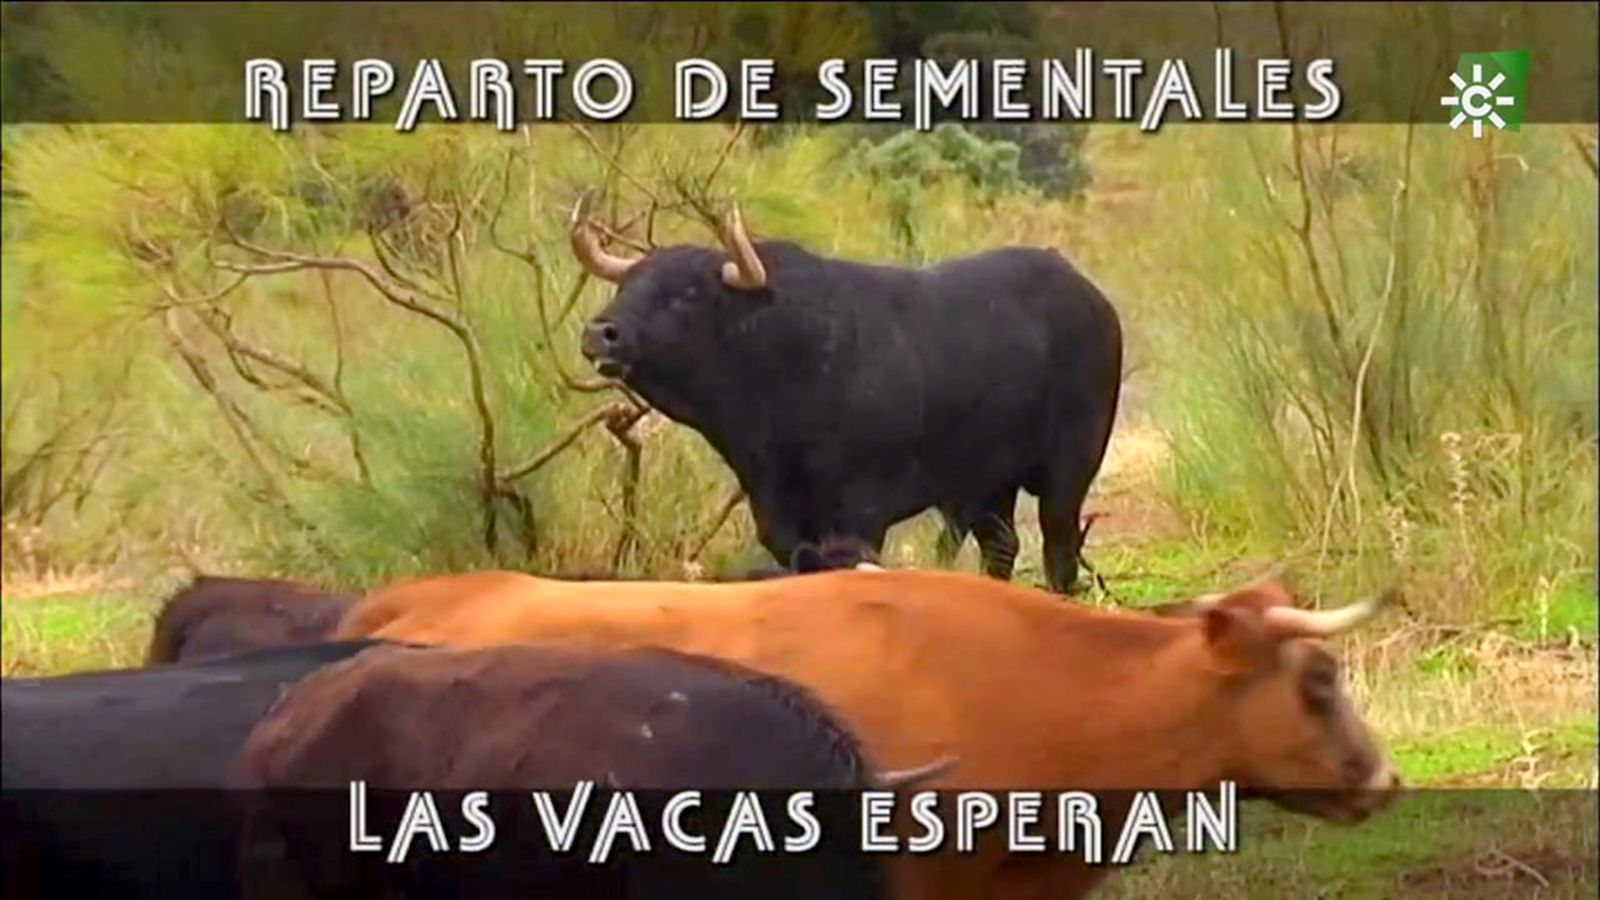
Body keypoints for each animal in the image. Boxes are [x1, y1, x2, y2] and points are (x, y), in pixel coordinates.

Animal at [568, 195, 1123, 594]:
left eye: (685, 293)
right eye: (627, 285)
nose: (600, 333)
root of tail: (1093, 300)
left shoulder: (860, 516)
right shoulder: (779, 518)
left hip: (1069, 473)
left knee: (1059, 554)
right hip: (988, 486)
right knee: (1002, 547)